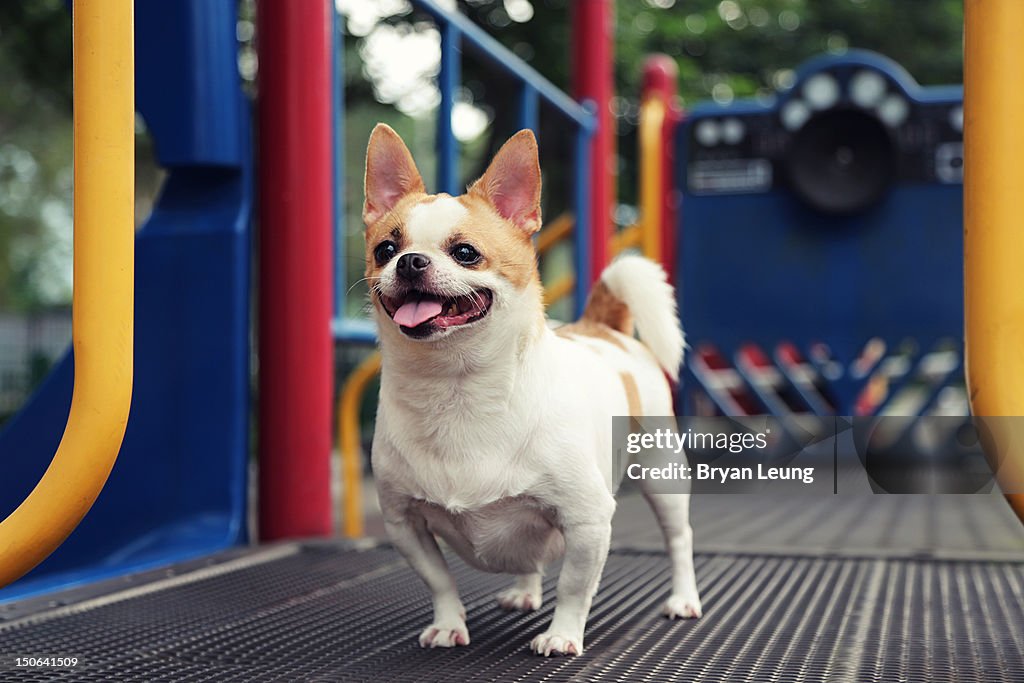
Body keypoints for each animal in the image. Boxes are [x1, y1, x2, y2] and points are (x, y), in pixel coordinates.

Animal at [362, 124, 704, 655]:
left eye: (465, 253)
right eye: (385, 250)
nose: (410, 261)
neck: (456, 389)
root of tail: (600, 325)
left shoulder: (587, 519)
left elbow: (575, 587)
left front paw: (562, 635)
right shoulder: (404, 524)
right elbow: (439, 580)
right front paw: (448, 623)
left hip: (662, 474)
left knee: (679, 538)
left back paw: (684, 598)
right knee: (529, 555)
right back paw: (523, 591)